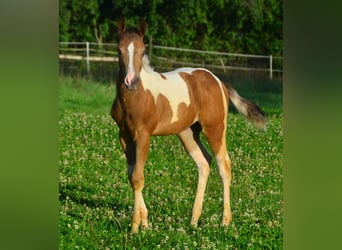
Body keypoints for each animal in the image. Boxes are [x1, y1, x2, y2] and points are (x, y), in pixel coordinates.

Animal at [111, 19, 266, 232]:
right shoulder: (124, 135)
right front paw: (145, 222)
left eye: (142, 52)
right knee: (203, 162)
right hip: (187, 133)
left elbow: (137, 177)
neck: (137, 97)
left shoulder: (143, 135)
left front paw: (136, 226)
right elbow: (132, 176)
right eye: (119, 51)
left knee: (223, 165)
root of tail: (219, 81)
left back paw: (225, 221)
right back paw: (194, 220)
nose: (130, 82)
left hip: (215, 128)